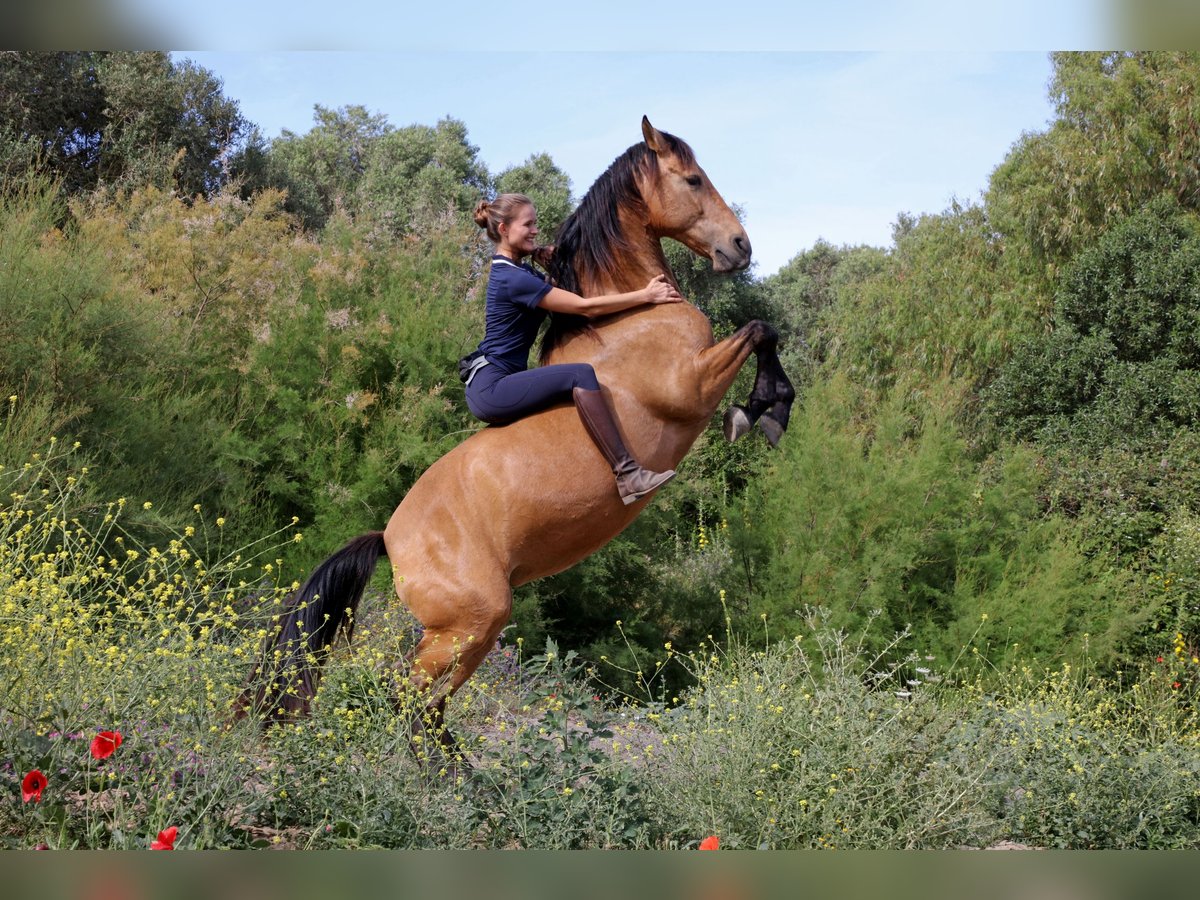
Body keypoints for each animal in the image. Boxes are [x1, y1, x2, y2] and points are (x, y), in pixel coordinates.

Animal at [237, 114, 792, 763]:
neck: (622, 322)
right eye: (692, 178)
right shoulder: (690, 386)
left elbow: (763, 330)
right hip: (469, 624)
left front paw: (766, 410)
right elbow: (758, 329)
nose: (741, 247)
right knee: (407, 700)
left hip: (467, 635)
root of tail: (390, 538)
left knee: (426, 710)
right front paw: (762, 410)